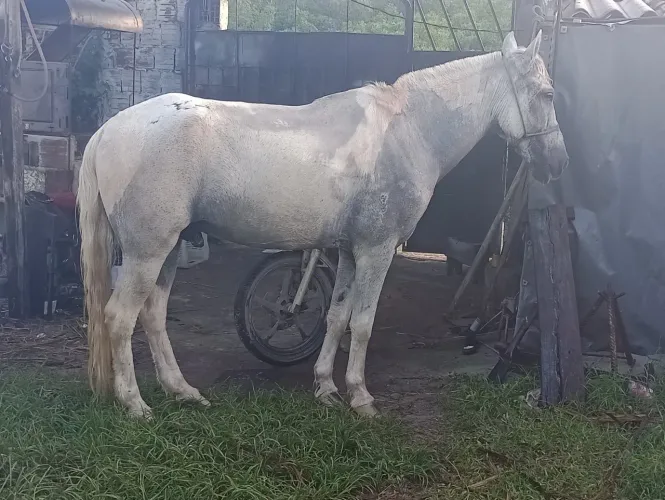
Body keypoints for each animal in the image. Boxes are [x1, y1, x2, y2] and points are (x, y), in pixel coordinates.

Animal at [78, 31, 568, 419]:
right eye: (546, 94)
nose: (557, 162)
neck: (407, 132)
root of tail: (108, 131)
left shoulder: (350, 250)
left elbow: (337, 315)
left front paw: (326, 388)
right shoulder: (377, 249)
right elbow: (363, 322)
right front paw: (361, 397)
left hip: (168, 249)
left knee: (153, 315)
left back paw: (182, 391)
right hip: (148, 251)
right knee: (120, 317)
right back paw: (135, 404)